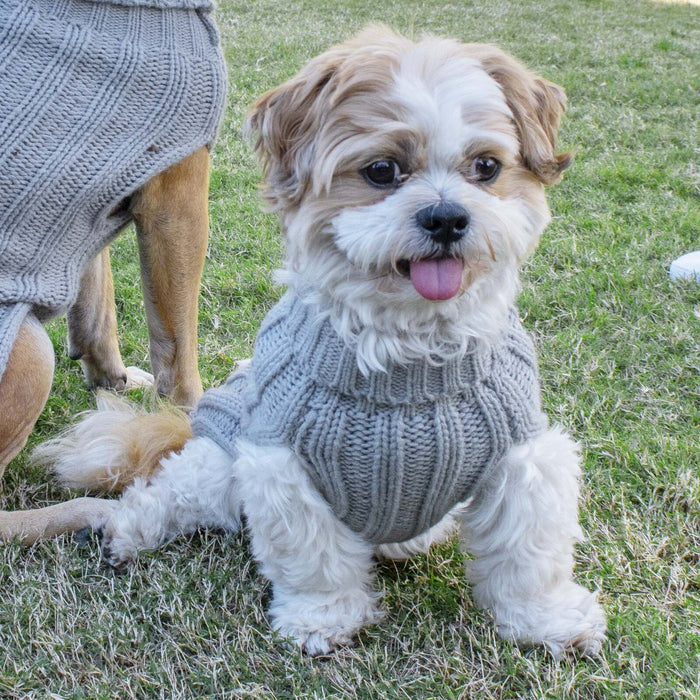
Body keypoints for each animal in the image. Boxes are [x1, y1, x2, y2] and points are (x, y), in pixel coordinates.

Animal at [28, 27, 608, 656]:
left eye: (486, 166)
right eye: (381, 170)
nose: (447, 217)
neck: (408, 354)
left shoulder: (523, 459)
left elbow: (529, 553)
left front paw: (548, 619)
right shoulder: (283, 465)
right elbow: (316, 559)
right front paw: (320, 619)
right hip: (216, 465)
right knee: (165, 496)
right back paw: (125, 533)